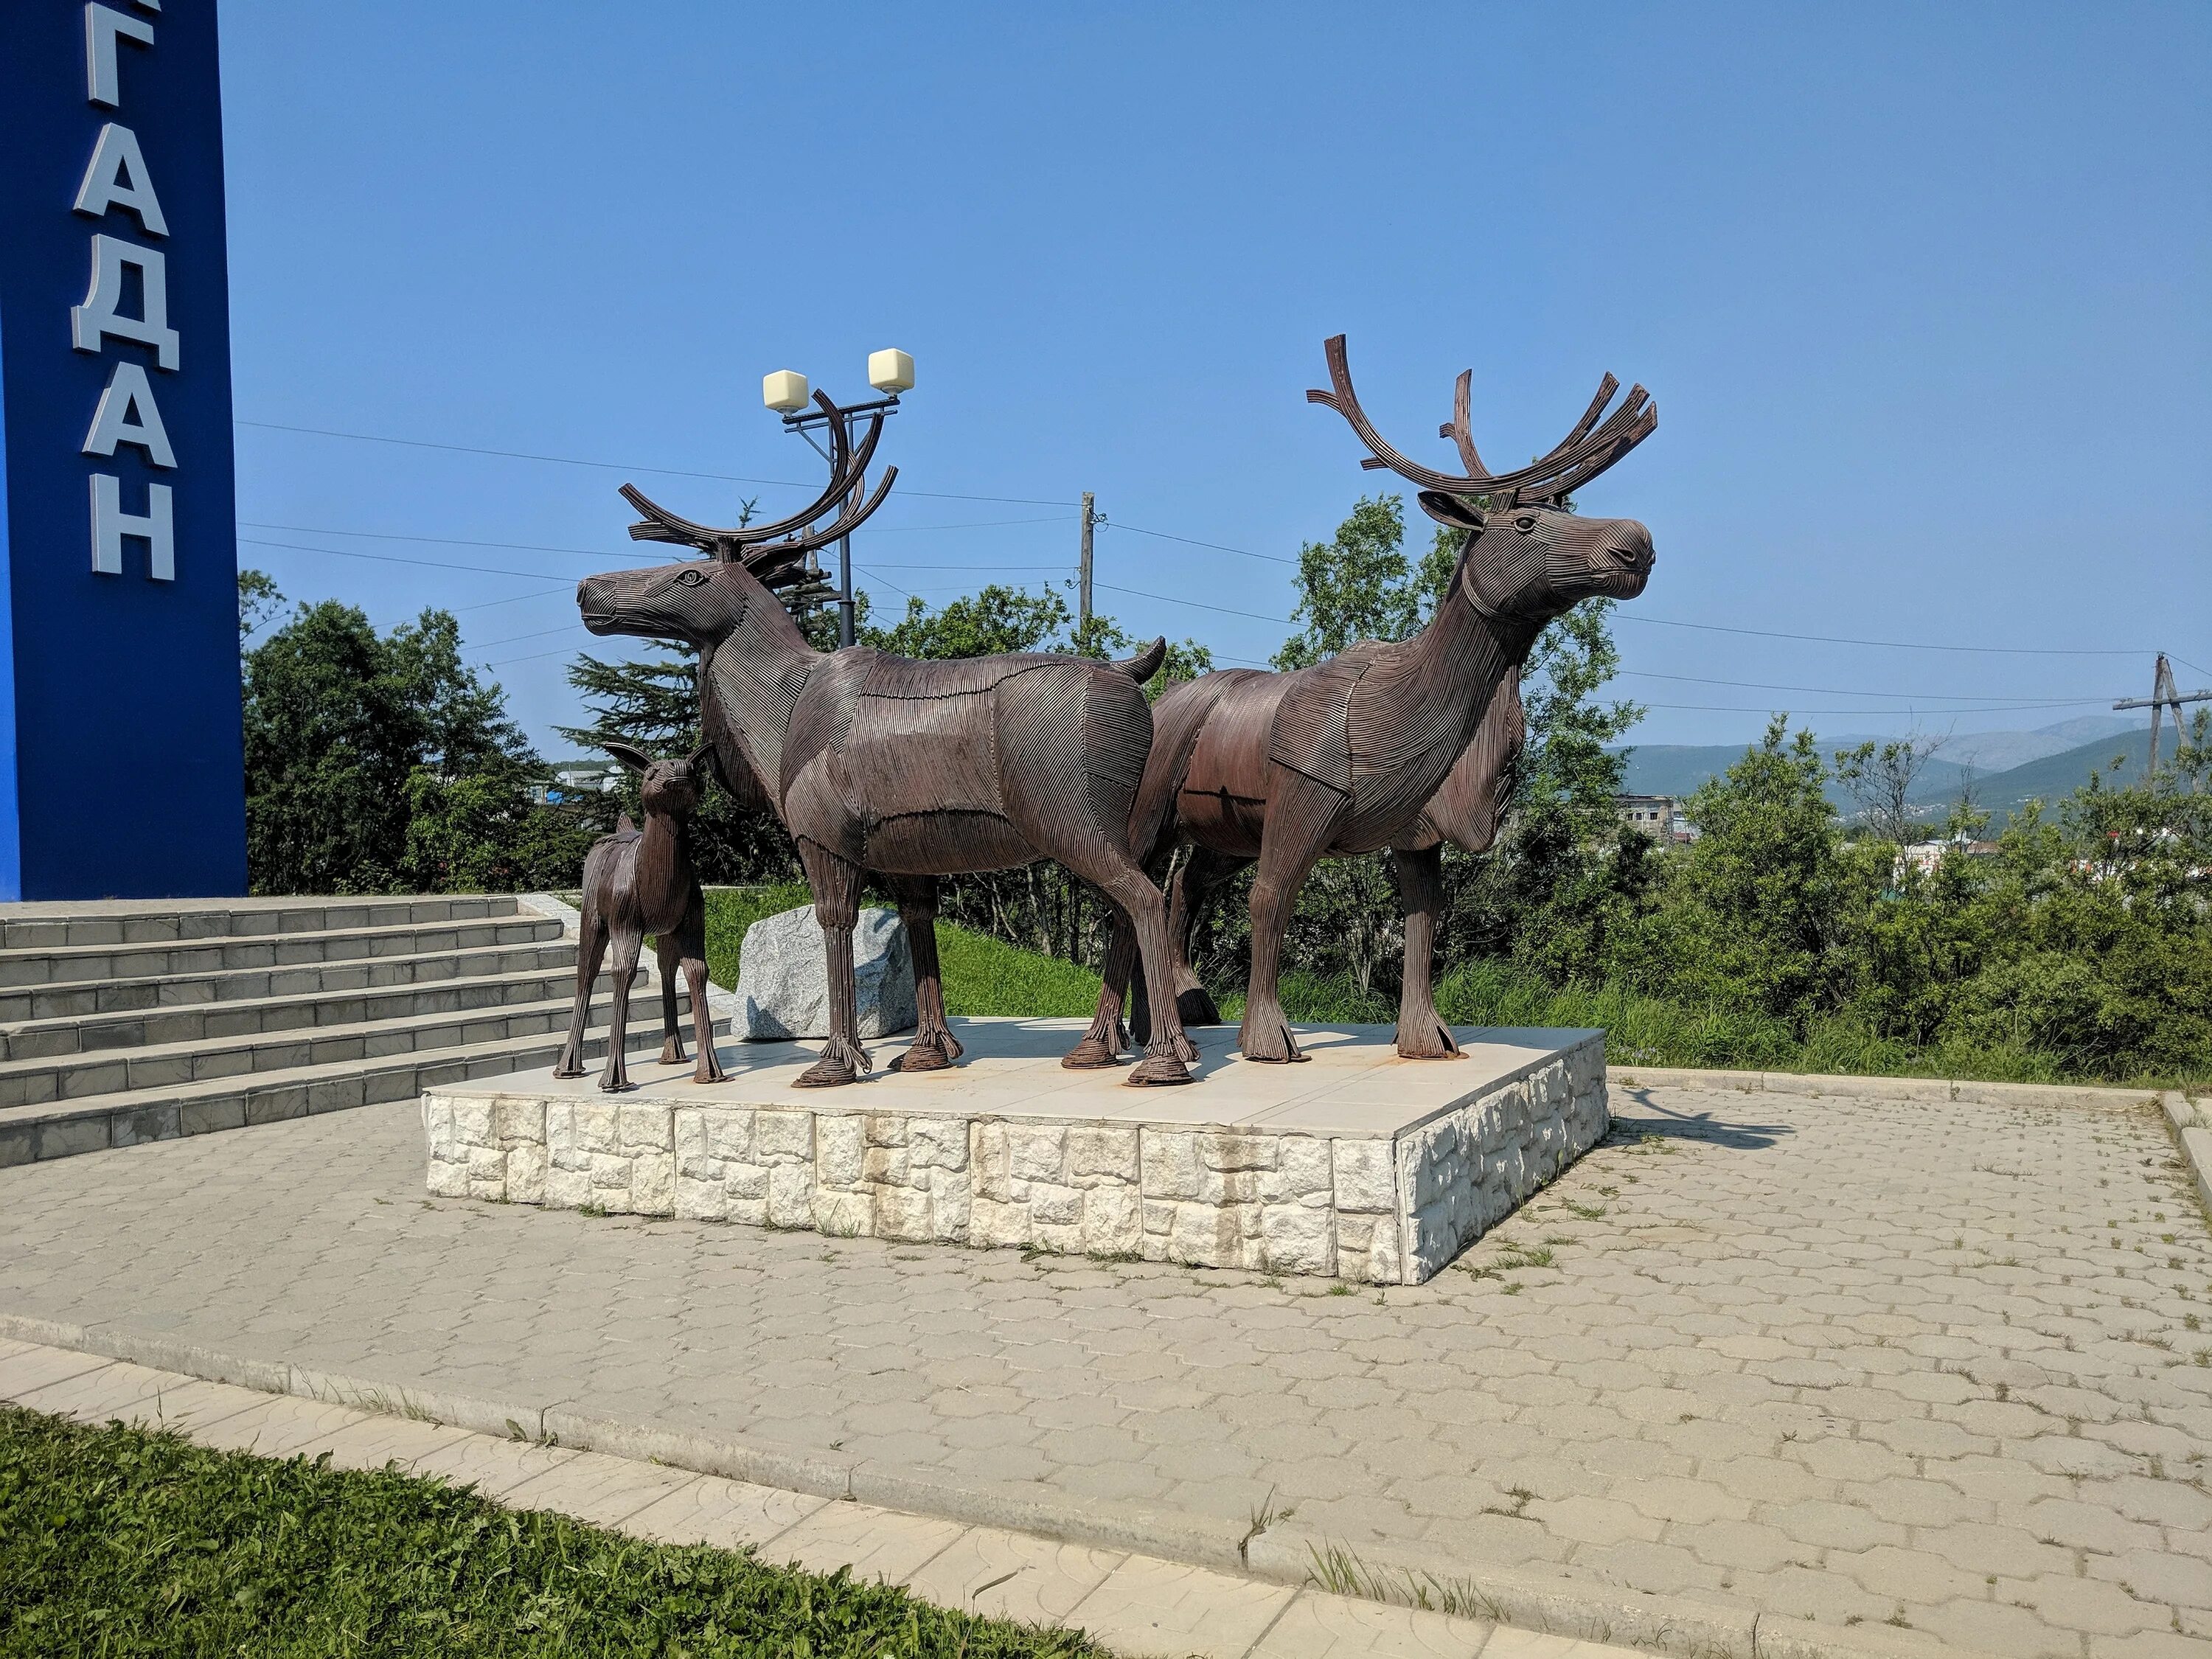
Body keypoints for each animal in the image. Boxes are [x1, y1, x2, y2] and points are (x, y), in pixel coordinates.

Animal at [553, 748, 734, 1097]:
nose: (680, 769)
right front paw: (613, 1079)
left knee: (666, 968)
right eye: (651, 771)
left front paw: (710, 1072)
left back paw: (673, 1055)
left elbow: (697, 971)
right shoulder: (625, 921)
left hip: (664, 931)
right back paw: (568, 1067)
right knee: (586, 972)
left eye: (695, 768)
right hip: (593, 918)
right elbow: (623, 972)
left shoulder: (691, 919)